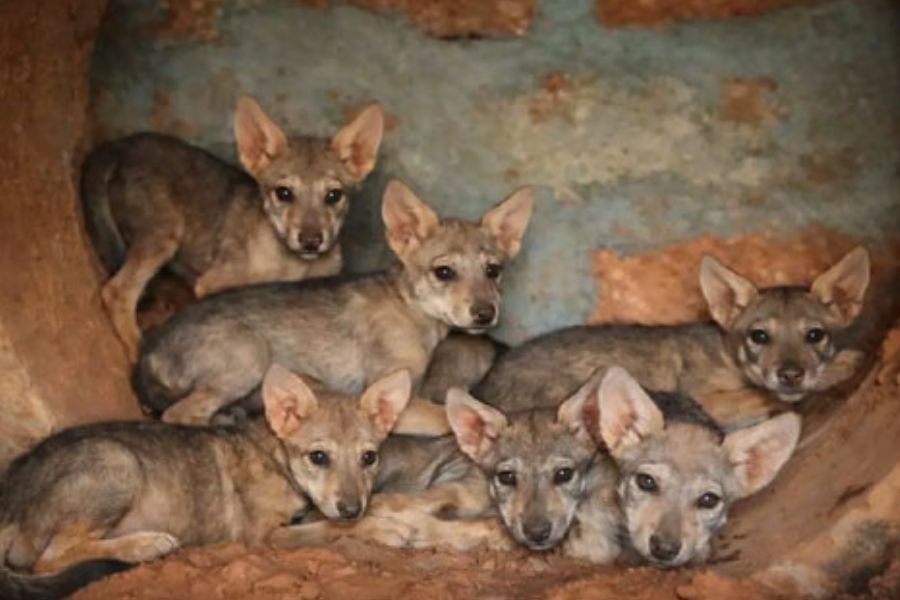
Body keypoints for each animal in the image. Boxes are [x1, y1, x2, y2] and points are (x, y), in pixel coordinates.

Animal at [0, 364, 410, 599]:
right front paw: (383, 529)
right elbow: (327, 529)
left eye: (369, 458)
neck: (275, 458)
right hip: (118, 464)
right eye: (319, 457)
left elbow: (326, 521)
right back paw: (144, 544)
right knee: (47, 560)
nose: (352, 507)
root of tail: (9, 494)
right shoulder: (263, 537)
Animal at [81, 97, 384, 360]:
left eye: (334, 195)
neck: (293, 267)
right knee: (116, 292)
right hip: (162, 237)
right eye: (284, 193)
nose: (311, 241)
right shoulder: (212, 285)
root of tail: (117, 146)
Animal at [133, 179, 533, 432]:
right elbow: (444, 418)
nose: (485, 313)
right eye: (444, 272)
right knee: (178, 414)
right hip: (249, 358)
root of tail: (147, 354)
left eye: (494, 270)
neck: (410, 309)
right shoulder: (397, 401)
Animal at [475, 247, 870, 425]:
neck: (725, 354)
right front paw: (842, 367)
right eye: (759, 336)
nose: (790, 374)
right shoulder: (705, 397)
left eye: (815, 335)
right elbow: (765, 395)